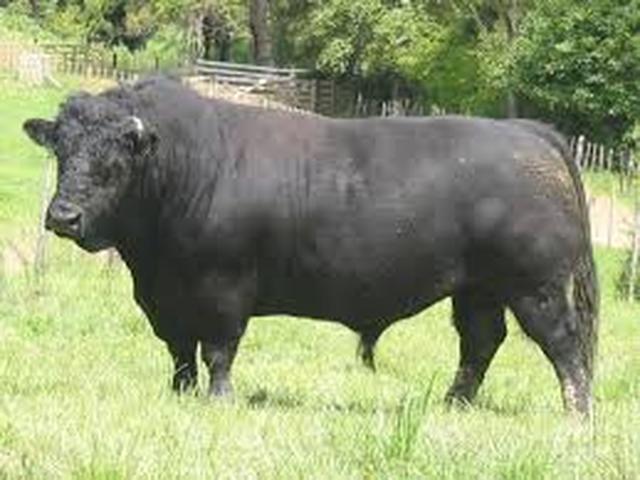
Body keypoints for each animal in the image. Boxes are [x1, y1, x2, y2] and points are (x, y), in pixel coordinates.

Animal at [23, 76, 598, 415]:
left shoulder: (223, 289)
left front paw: (220, 400)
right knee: (480, 342)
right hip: (477, 289)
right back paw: (452, 404)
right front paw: (179, 394)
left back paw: (577, 413)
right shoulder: (163, 298)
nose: (63, 216)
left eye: (114, 162)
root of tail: (528, 132)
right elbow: (180, 352)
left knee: (564, 345)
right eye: (62, 151)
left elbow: (218, 350)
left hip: (536, 288)